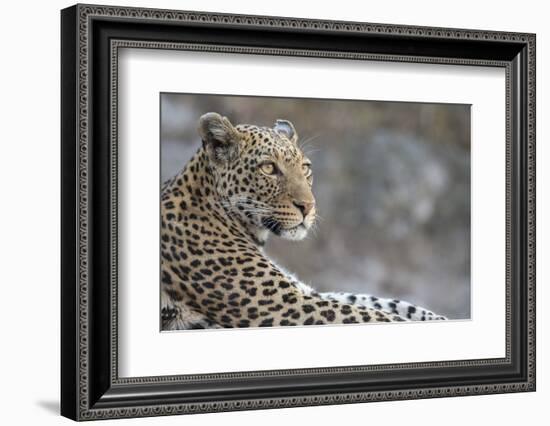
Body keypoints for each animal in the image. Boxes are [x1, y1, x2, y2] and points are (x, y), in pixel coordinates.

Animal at [161, 112, 448, 330]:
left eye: (306, 168)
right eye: (268, 168)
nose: (308, 207)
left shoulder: (302, 292)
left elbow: (381, 302)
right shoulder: (288, 305)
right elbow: (373, 315)